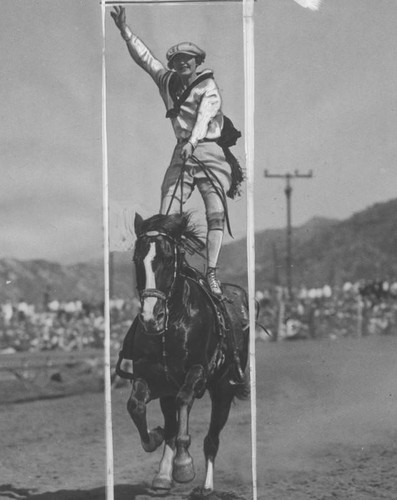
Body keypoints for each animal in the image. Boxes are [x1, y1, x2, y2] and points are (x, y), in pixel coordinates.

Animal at [116, 211, 249, 492]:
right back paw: (163, 476)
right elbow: (136, 407)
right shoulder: (150, 376)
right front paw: (154, 438)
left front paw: (184, 465)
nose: (150, 317)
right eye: (136, 259)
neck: (172, 324)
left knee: (211, 438)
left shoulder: (198, 371)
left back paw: (206, 486)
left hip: (223, 389)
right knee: (171, 424)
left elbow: (184, 401)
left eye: (167, 259)